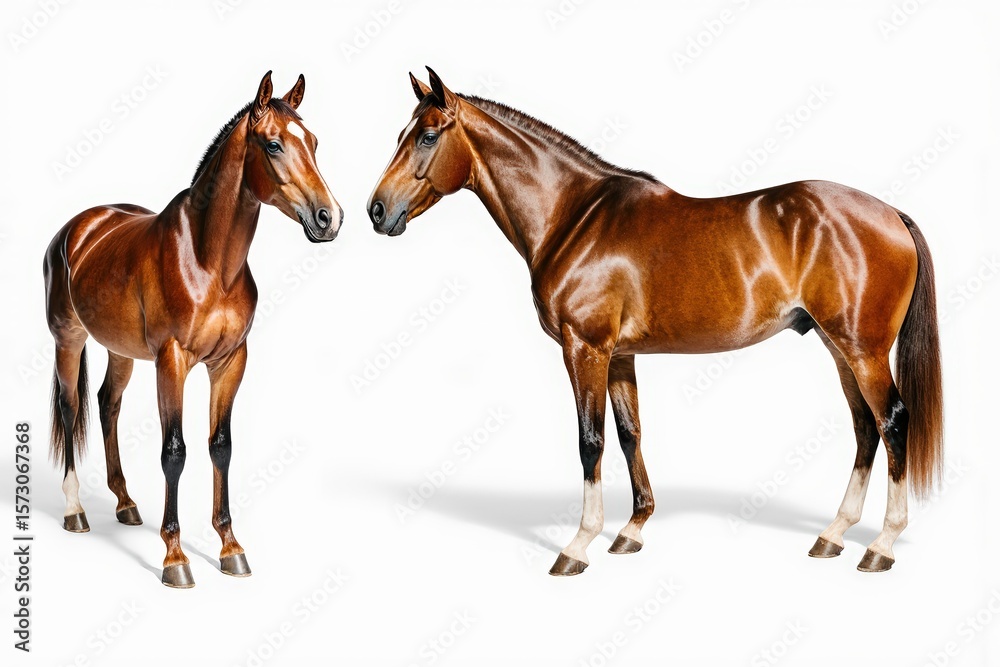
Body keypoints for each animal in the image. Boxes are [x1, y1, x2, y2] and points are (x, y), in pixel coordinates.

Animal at [44, 71, 341, 588]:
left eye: (314, 142)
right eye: (273, 144)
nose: (329, 218)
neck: (208, 261)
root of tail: (78, 228)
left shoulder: (230, 361)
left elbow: (220, 446)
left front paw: (230, 547)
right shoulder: (173, 360)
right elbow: (175, 452)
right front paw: (174, 557)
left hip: (120, 350)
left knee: (107, 404)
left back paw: (125, 503)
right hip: (68, 340)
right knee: (70, 408)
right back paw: (75, 510)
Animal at [367, 68, 943, 576]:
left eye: (427, 136)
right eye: (402, 135)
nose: (376, 210)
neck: (574, 217)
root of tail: (890, 213)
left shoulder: (585, 348)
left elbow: (591, 440)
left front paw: (578, 545)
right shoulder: (620, 355)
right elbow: (629, 435)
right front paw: (632, 530)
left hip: (863, 350)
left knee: (892, 422)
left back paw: (881, 546)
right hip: (838, 346)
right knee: (866, 428)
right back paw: (833, 535)